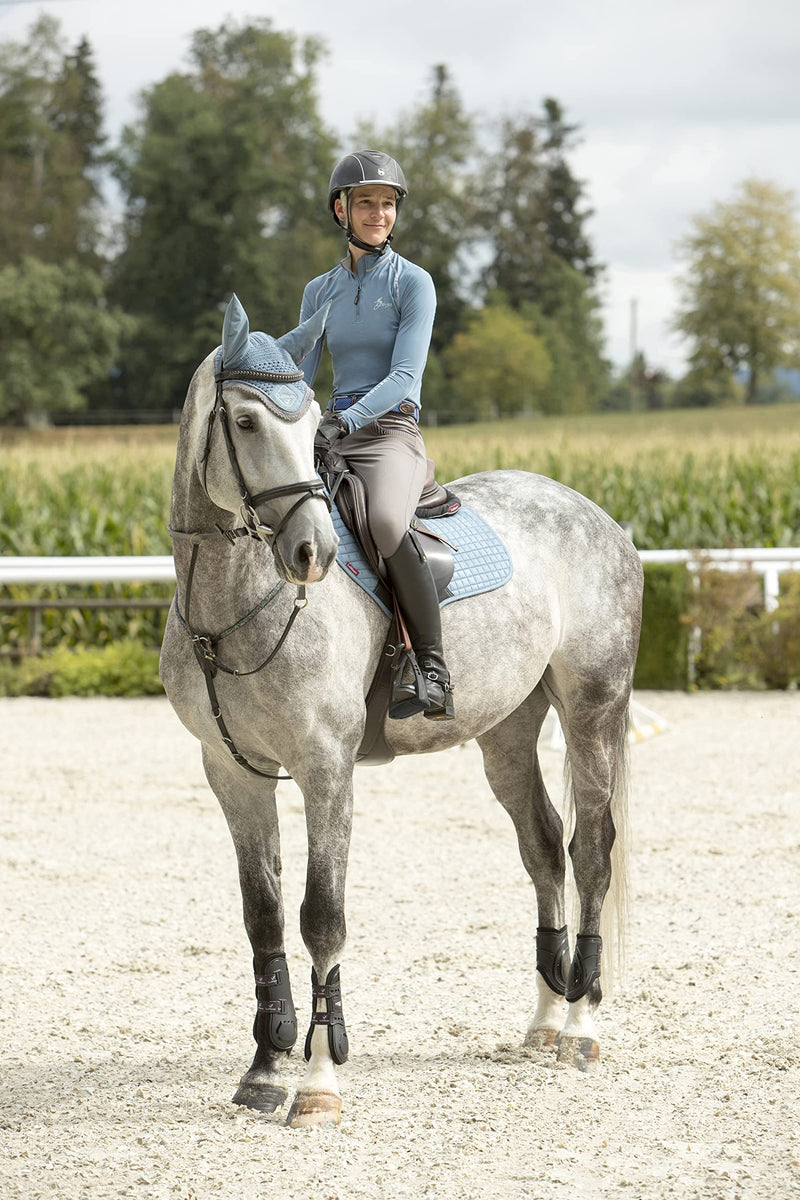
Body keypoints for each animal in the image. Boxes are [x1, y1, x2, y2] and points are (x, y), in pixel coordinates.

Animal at [160, 295, 642, 1128]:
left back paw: (582, 1026)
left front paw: (319, 1083)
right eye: (246, 422)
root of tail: (601, 519)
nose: (312, 554)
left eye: (311, 421)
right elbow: (263, 916)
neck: (234, 600)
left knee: (591, 851)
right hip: (506, 732)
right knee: (544, 848)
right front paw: (263, 1072)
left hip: (594, 711)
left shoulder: (325, 767)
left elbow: (321, 915)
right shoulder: (231, 770)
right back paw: (545, 1022)